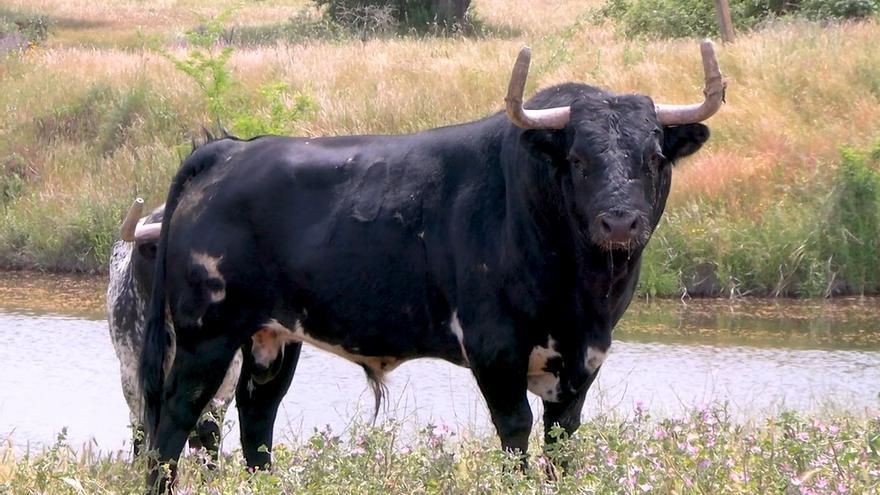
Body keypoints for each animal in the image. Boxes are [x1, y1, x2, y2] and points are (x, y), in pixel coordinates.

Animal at [138, 43, 724, 492]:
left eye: (654, 157)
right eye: (579, 160)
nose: (620, 222)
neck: (580, 296)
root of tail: (226, 151)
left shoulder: (583, 364)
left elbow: (562, 445)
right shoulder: (495, 350)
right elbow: (516, 433)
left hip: (274, 337)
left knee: (257, 416)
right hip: (205, 334)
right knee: (174, 422)